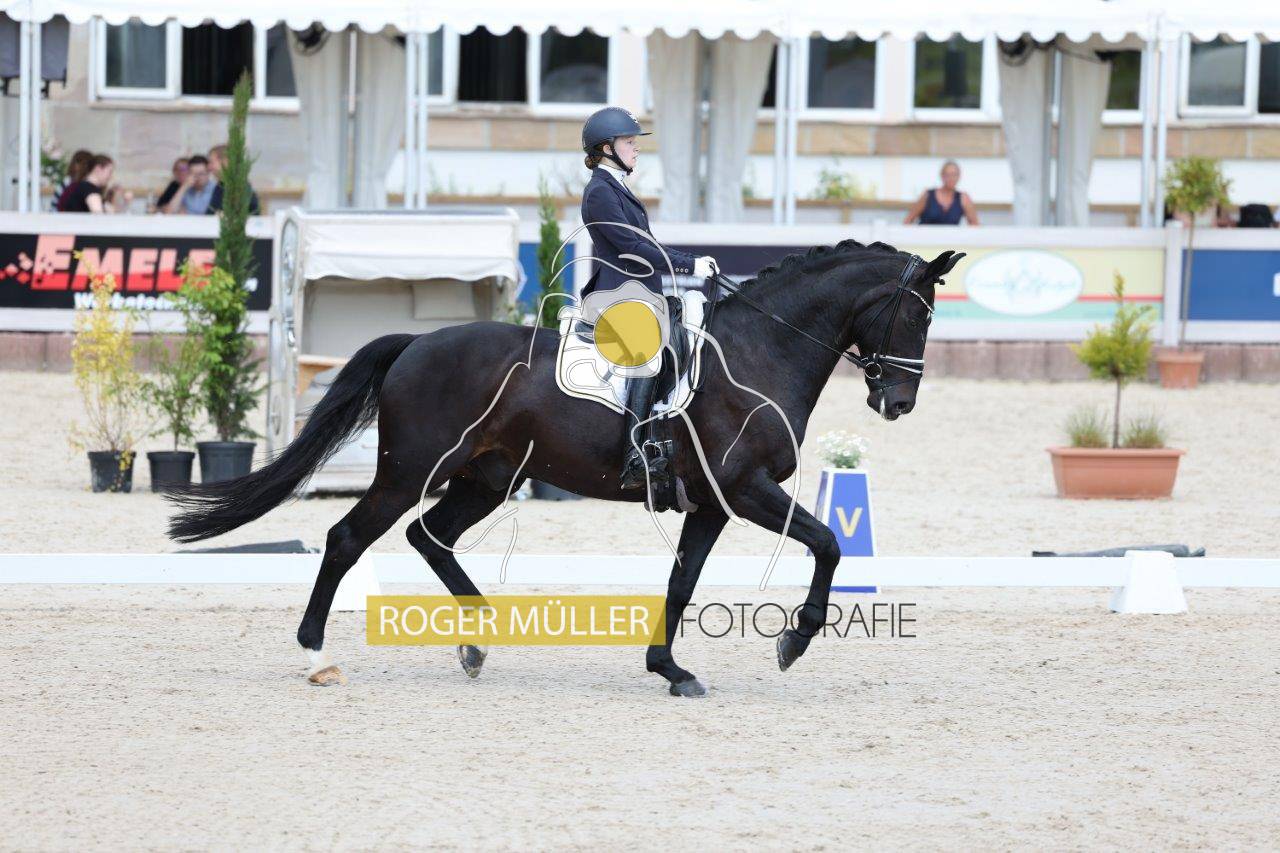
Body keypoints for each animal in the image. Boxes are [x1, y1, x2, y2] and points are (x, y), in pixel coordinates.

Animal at [167, 239, 963, 696]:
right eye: (919, 314)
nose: (899, 401)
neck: (759, 351)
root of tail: (414, 344)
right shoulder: (746, 490)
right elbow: (829, 542)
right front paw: (793, 641)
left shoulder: (712, 502)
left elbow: (682, 583)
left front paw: (668, 669)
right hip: (408, 473)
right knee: (346, 539)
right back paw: (316, 655)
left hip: (486, 478)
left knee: (429, 536)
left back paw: (477, 640)